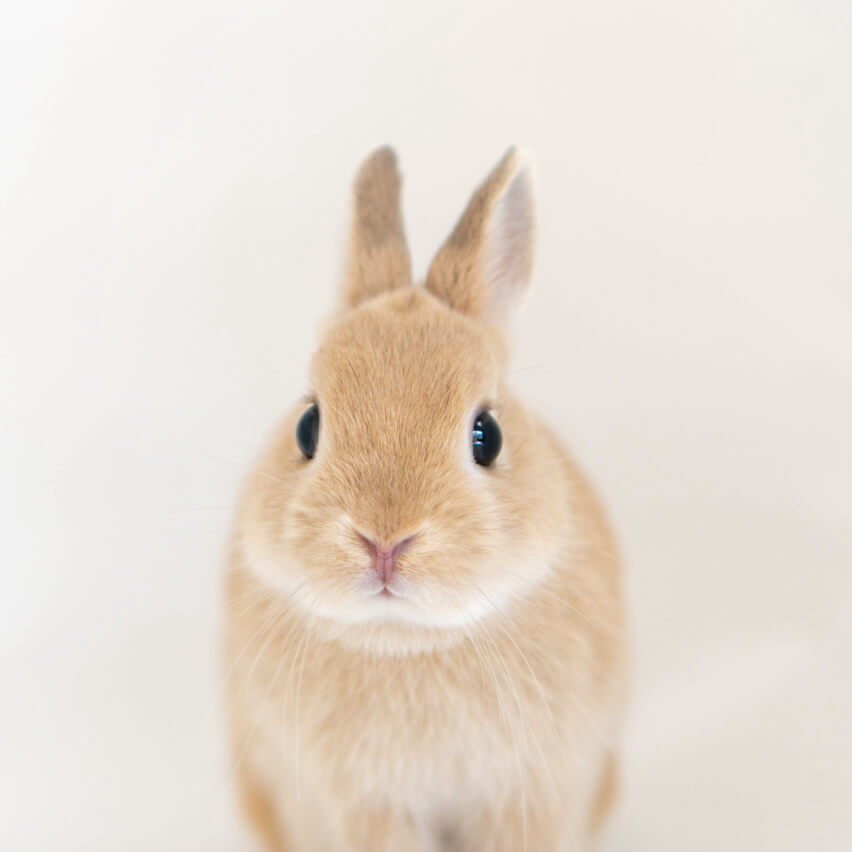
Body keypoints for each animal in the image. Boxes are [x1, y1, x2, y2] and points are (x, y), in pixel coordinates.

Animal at [223, 148, 628, 852]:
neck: (404, 641)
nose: (385, 541)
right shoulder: (362, 807)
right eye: (307, 426)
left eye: (487, 435)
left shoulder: (529, 793)